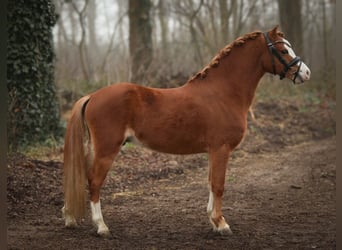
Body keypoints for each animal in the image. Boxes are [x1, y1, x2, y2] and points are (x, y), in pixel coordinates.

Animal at [61, 25, 310, 236]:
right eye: (282, 49)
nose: (306, 73)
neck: (223, 92)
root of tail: (93, 96)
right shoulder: (221, 149)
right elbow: (219, 185)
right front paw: (221, 224)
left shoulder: (213, 151)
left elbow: (210, 183)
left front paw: (213, 220)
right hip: (107, 150)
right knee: (94, 181)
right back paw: (101, 227)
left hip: (95, 148)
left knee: (82, 176)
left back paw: (70, 217)